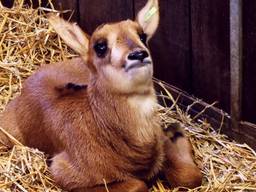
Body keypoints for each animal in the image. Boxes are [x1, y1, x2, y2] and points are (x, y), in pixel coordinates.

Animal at [0, 0, 202, 191]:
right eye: (100, 46)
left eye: (142, 36)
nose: (138, 54)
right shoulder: (62, 171)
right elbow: (138, 185)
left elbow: (191, 178)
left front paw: (175, 133)